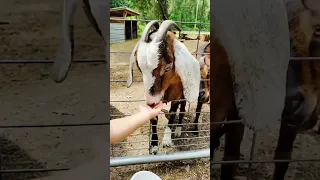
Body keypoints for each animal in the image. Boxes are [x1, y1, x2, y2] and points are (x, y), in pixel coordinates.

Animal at [127, 20, 200, 155]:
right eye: (139, 68)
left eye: (167, 67)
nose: (151, 102)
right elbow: (154, 118)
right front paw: (154, 145)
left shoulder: (176, 96)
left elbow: (172, 114)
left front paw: (166, 140)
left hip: (184, 95)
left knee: (182, 110)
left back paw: (178, 130)